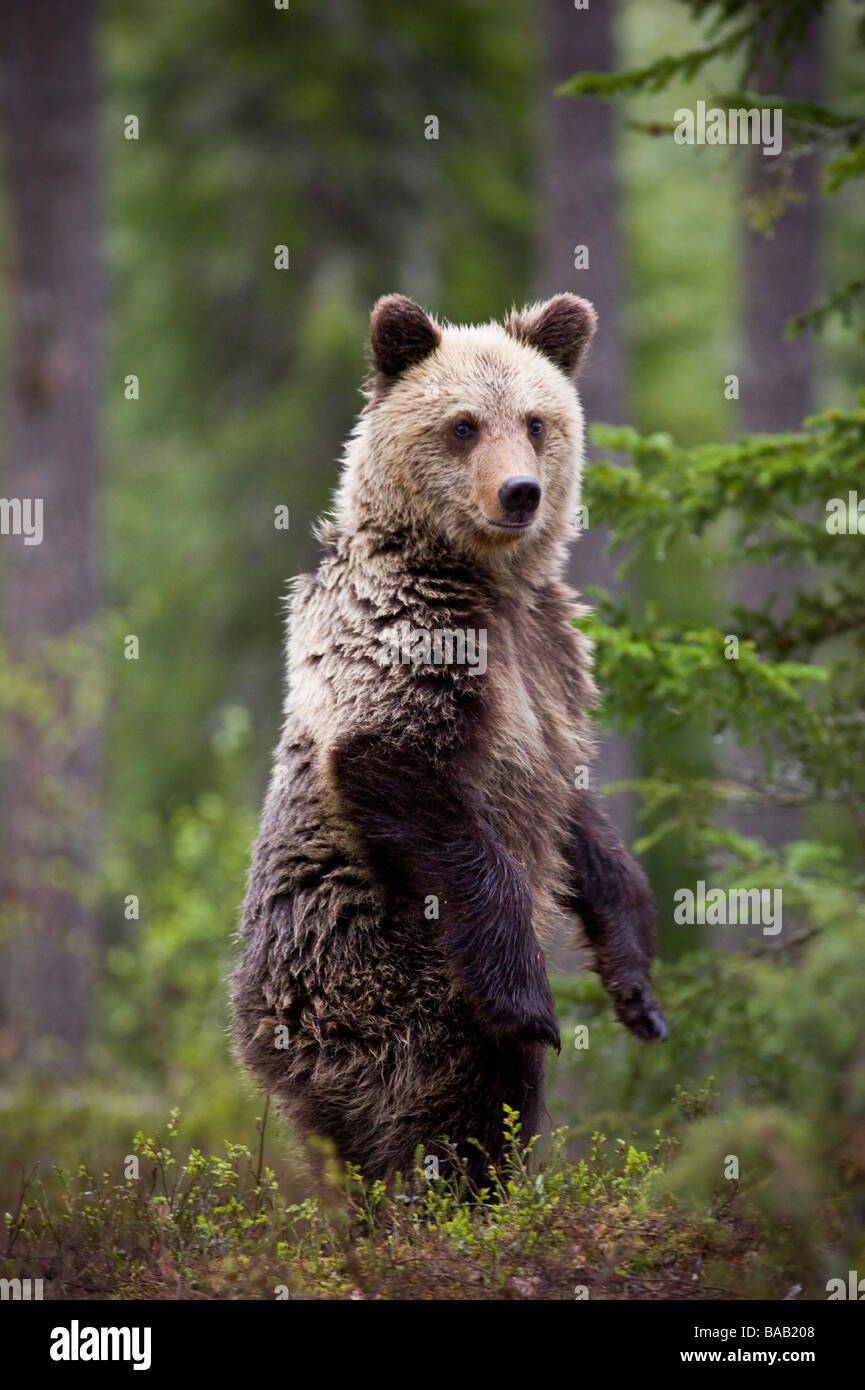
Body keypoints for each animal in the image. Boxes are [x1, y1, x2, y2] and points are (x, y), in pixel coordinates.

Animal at [231, 292, 667, 1187]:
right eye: (463, 425)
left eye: (535, 421)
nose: (519, 492)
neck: (486, 582)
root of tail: (255, 1035)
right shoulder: (409, 644)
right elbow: (406, 772)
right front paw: (529, 1000)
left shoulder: (550, 666)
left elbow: (580, 821)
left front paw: (636, 984)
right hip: (380, 986)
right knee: (454, 1097)